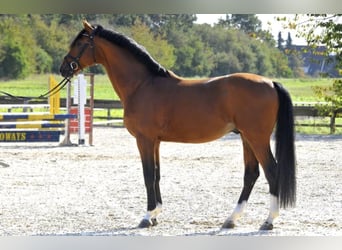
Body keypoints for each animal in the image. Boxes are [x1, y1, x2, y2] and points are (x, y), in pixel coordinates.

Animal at [60, 21, 296, 230]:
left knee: (272, 171)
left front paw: (147, 217)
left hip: (257, 138)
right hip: (246, 137)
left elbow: (147, 175)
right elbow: (156, 174)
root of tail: (270, 83)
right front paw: (156, 215)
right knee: (251, 174)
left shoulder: (144, 140)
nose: (63, 69)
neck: (142, 85)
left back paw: (268, 221)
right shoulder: (155, 141)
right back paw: (231, 219)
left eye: (79, 43)